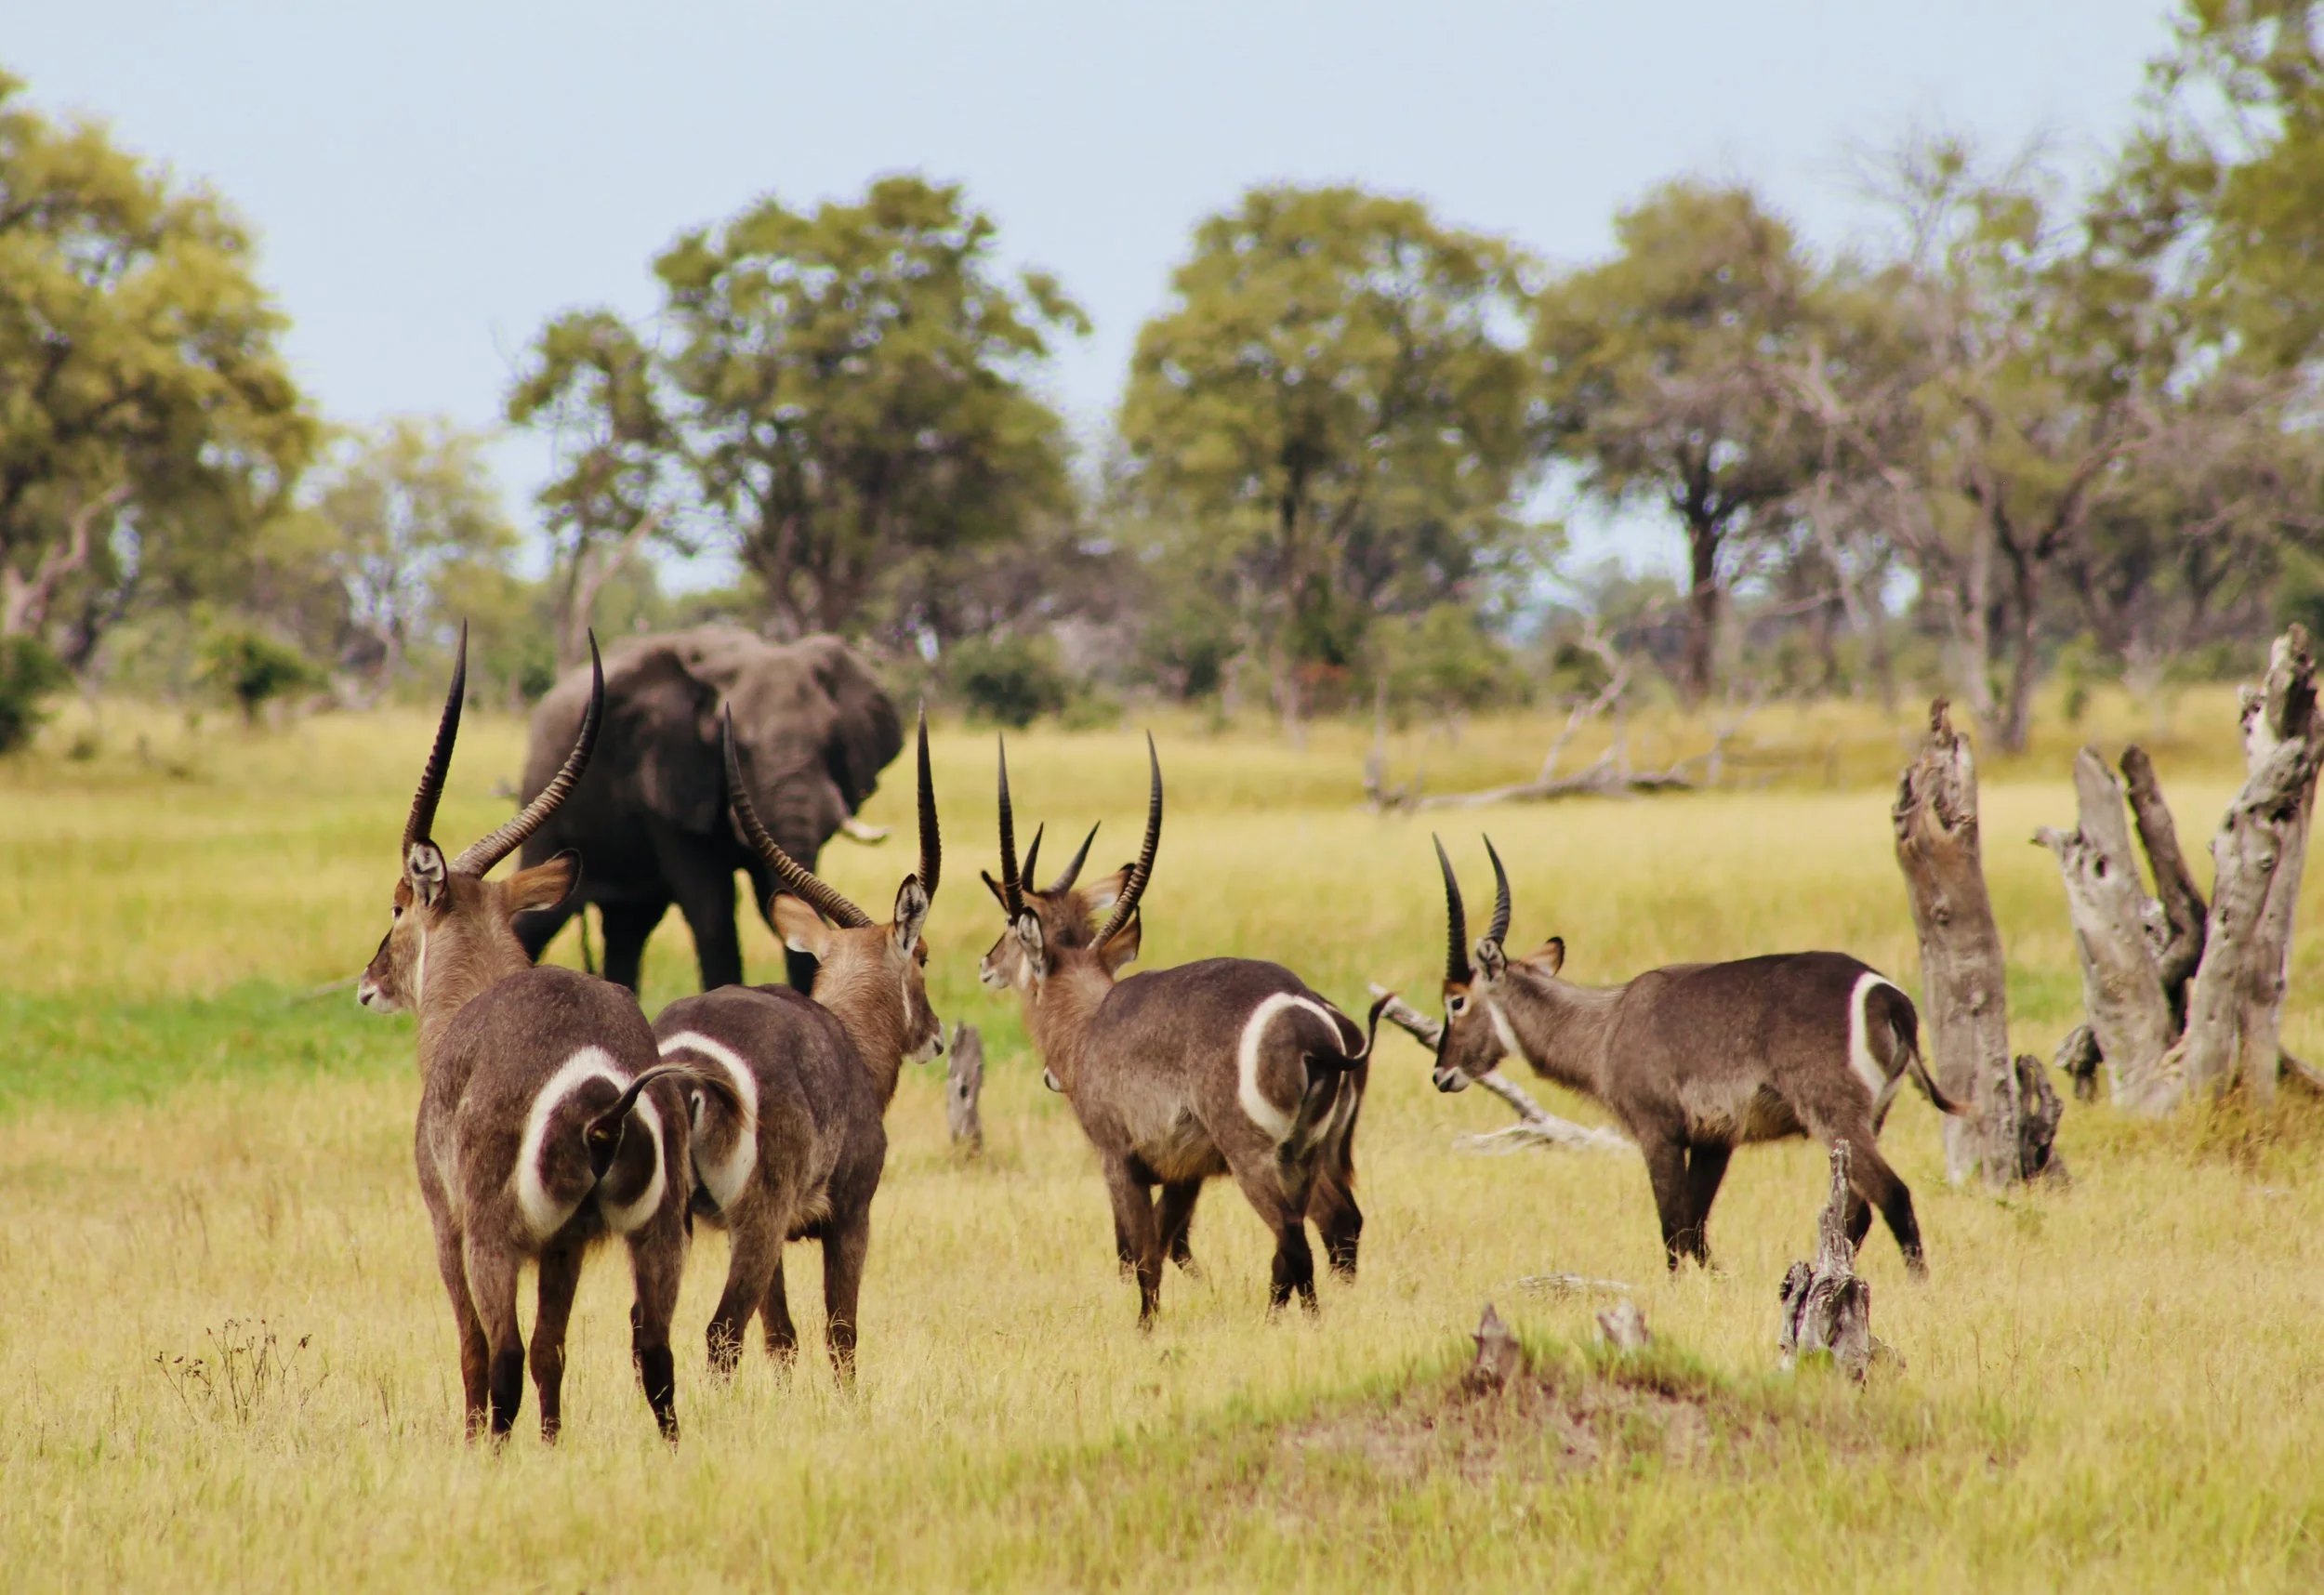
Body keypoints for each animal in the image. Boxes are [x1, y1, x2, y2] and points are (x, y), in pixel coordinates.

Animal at [511, 625, 903, 994]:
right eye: (736, 746)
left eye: (831, 740)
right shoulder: (667, 774)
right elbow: (713, 908)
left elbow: (769, 900)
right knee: (540, 920)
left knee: (629, 929)